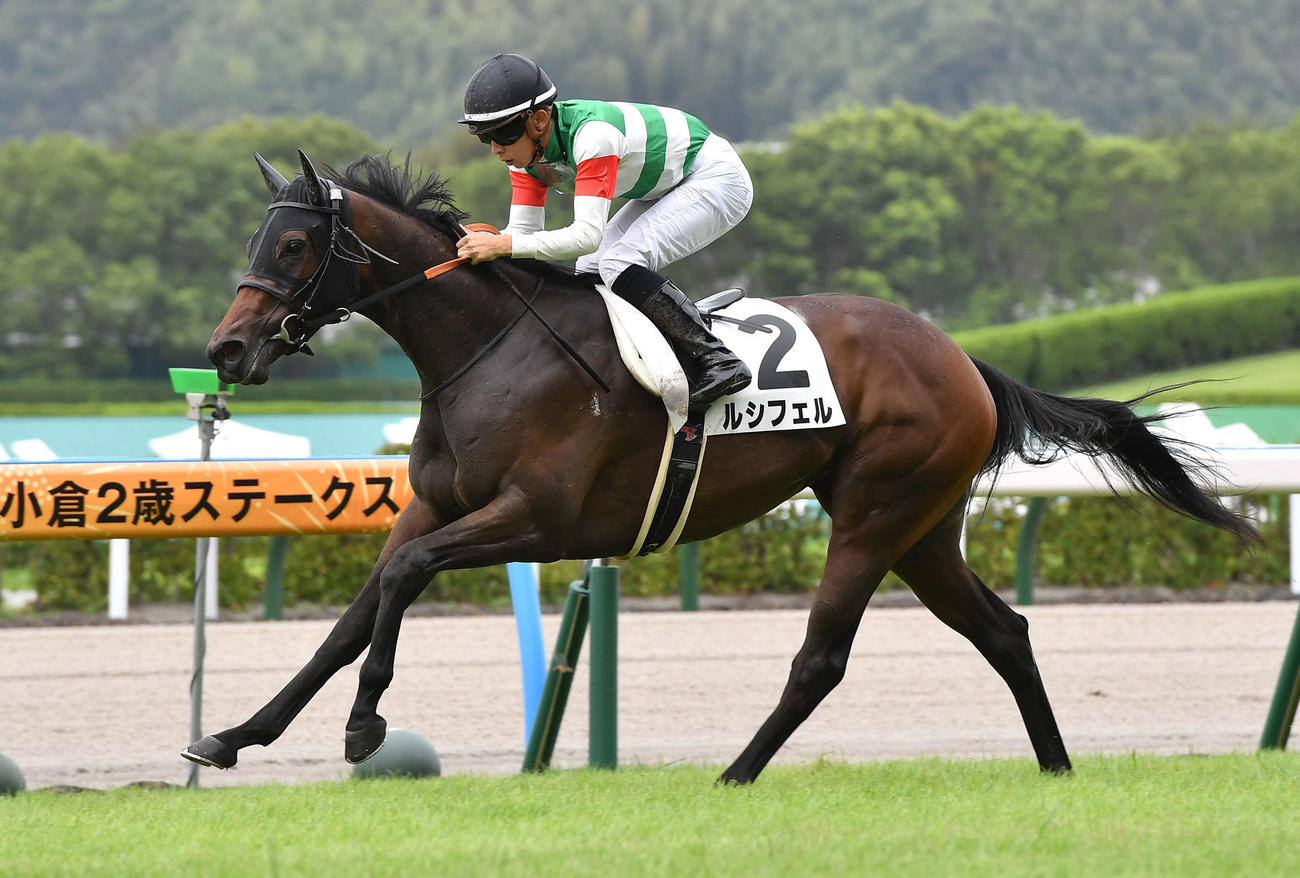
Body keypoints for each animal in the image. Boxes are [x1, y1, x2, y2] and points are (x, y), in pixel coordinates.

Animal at [183, 150, 1258, 784]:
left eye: (293, 243)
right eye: (258, 238)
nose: (228, 349)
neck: (487, 350)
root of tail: (962, 359)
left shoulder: (539, 518)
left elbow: (401, 583)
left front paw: (365, 729)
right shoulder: (431, 508)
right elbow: (350, 619)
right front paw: (233, 736)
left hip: (876, 512)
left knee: (822, 658)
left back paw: (735, 776)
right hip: (921, 531)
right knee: (1004, 631)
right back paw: (1056, 768)